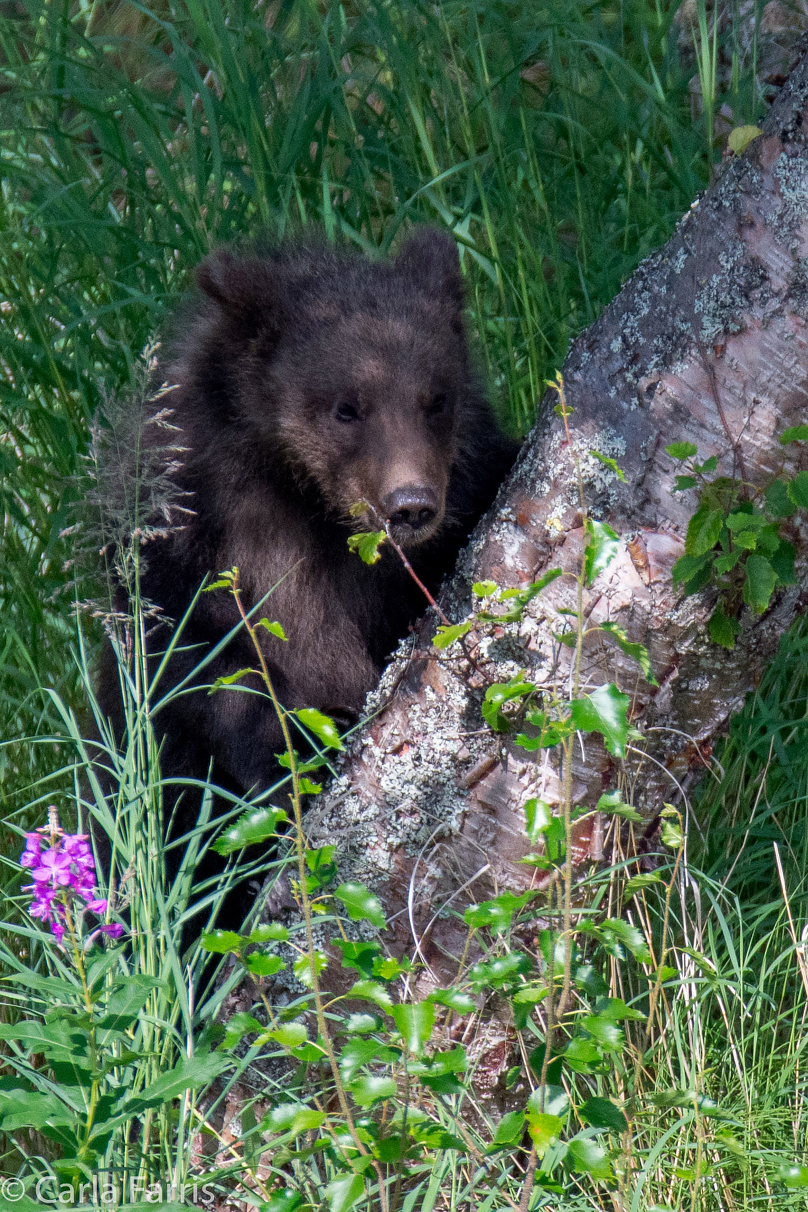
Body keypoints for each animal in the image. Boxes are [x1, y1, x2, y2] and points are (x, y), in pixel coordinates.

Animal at [101, 225, 516, 892]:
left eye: (436, 399)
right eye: (348, 406)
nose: (410, 505)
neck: (308, 505)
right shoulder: (193, 537)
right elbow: (208, 665)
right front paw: (304, 749)